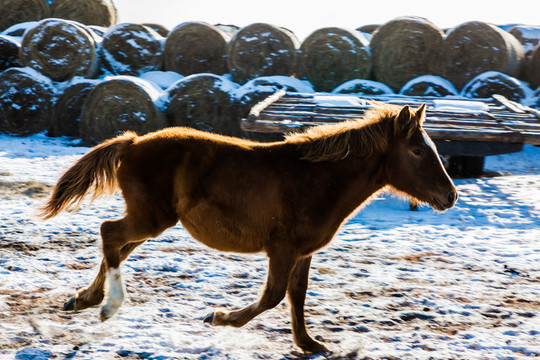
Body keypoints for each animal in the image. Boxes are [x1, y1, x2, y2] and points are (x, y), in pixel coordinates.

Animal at [41, 102, 456, 352]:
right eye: (418, 151)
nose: (450, 196)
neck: (316, 178)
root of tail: (132, 142)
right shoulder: (282, 249)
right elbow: (273, 296)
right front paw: (220, 317)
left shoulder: (303, 252)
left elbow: (297, 295)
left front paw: (309, 344)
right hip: (150, 218)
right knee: (110, 233)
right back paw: (108, 305)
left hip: (152, 221)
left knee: (117, 246)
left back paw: (84, 299)